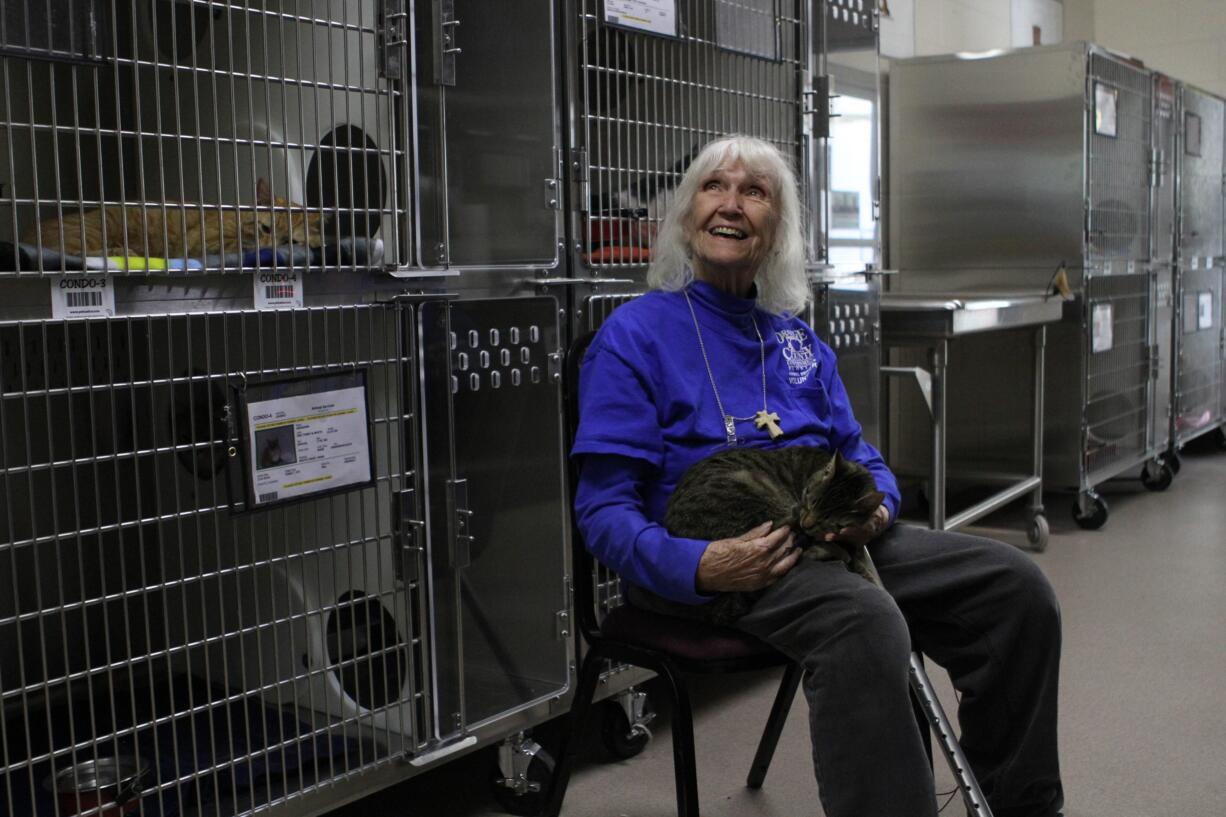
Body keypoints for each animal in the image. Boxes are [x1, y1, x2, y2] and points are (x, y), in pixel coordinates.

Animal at [25, 177, 321, 257]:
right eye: (266, 229)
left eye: (290, 242)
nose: (271, 250)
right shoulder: (203, 242)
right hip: (97, 227)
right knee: (74, 253)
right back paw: (124, 251)